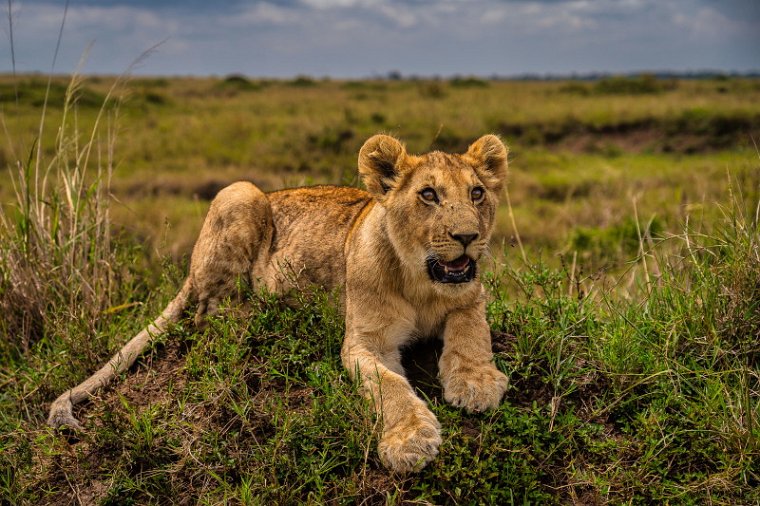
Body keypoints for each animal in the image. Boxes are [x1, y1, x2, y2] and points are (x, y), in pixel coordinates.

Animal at [49, 134, 510, 474]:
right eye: (428, 195)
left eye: (477, 193)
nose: (468, 236)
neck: (421, 282)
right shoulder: (365, 343)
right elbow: (390, 386)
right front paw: (410, 440)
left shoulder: (470, 298)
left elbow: (471, 333)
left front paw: (475, 384)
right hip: (240, 194)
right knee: (207, 312)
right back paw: (266, 309)